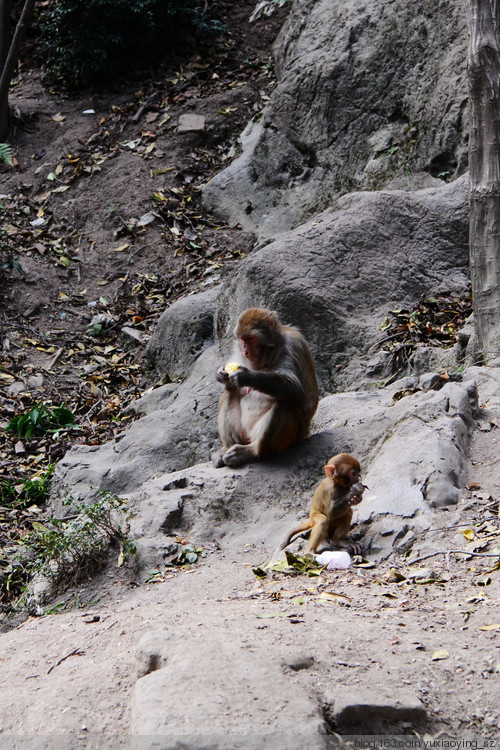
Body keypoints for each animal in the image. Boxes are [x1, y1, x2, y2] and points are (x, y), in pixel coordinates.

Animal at [213, 308, 318, 468]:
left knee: (285, 403)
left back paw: (252, 453)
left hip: (291, 439)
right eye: (242, 340)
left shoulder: (293, 346)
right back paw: (226, 448)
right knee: (230, 392)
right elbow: (230, 384)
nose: (245, 352)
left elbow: (295, 389)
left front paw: (247, 376)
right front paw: (221, 374)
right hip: (243, 434)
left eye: (251, 338)